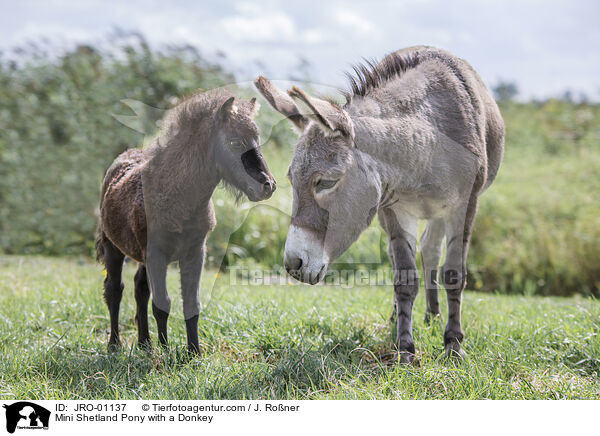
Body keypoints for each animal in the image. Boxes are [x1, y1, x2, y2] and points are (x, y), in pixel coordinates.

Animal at [97, 89, 276, 354]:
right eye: (235, 142)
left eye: (257, 139)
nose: (268, 185)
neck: (178, 196)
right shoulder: (156, 254)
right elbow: (162, 303)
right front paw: (166, 352)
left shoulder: (195, 252)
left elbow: (191, 303)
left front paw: (193, 353)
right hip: (113, 247)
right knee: (114, 289)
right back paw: (115, 344)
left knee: (140, 288)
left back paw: (145, 343)